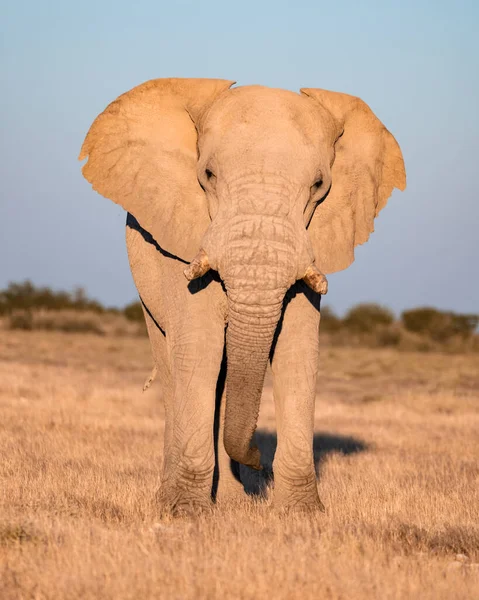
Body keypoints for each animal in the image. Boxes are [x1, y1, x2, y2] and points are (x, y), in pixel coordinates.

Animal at [79, 77, 404, 512]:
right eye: (208, 174)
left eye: (319, 185)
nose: (259, 463)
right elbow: (198, 348)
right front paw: (185, 513)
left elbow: (298, 352)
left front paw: (302, 514)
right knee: (177, 368)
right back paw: (174, 498)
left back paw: (232, 504)